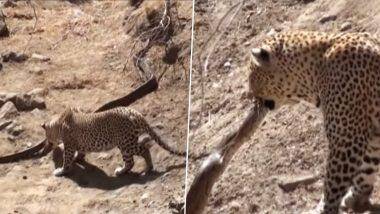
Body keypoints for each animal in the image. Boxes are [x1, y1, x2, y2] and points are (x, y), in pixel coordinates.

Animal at [40, 106, 186, 177]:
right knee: (131, 161)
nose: (47, 145)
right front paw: (77, 159)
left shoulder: (69, 145)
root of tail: (136, 113)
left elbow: (66, 159)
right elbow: (80, 152)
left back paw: (147, 168)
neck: (59, 124)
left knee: (143, 151)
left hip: (125, 143)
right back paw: (122, 171)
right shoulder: (79, 144)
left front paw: (61, 171)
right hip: (126, 143)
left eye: (46, 138)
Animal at [246, 30, 380, 214]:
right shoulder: (372, 136)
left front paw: (323, 208)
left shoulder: (345, 140)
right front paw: (356, 197)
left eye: (251, 77)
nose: (250, 96)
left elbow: (332, 184)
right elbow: (366, 168)